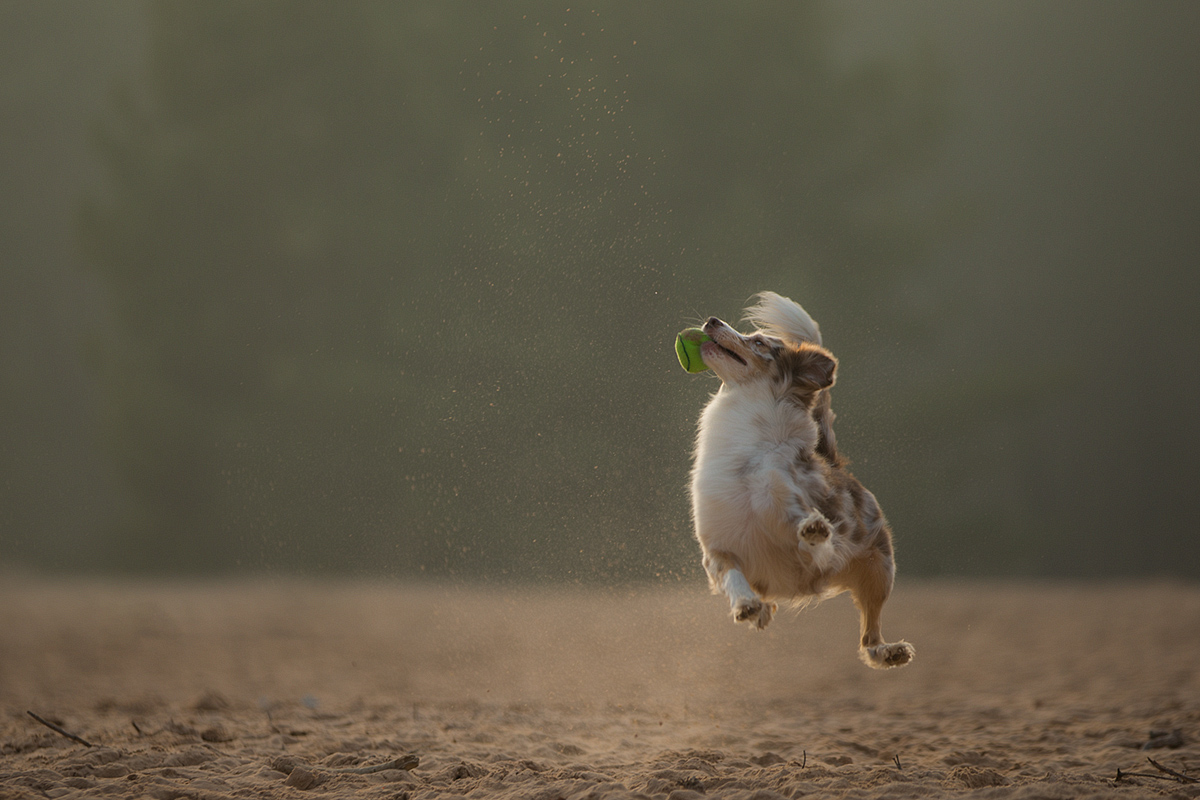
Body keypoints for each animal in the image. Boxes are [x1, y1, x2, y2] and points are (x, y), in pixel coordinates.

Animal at [691, 291, 912, 666]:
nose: (711, 320)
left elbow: (810, 533)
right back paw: (760, 610)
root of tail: (836, 463)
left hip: (881, 570)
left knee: (870, 636)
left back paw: (889, 651)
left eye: (759, 341)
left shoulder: (792, 505)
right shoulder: (718, 548)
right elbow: (734, 578)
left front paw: (813, 529)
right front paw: (747, 605)